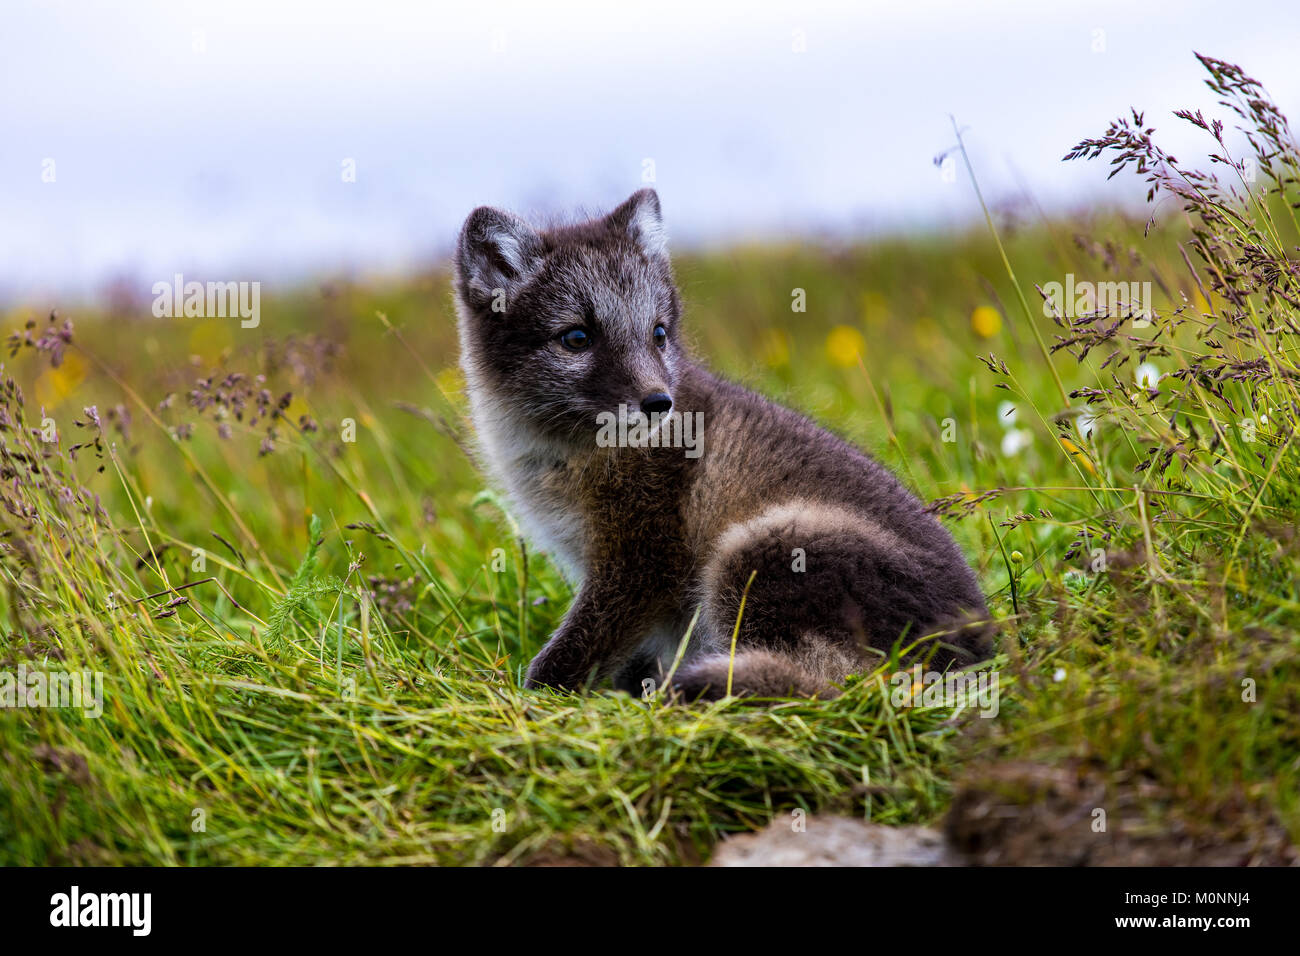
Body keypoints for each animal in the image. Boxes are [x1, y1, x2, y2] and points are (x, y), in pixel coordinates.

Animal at [453, 188, 994, 700]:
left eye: (658, 334)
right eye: (576, 338)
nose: (660, 403)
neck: (563, 452)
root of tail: (978, 654)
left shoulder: (639, 561)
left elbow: (570, 653)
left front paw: (531, 699)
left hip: (759, 547)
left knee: (829, 685)